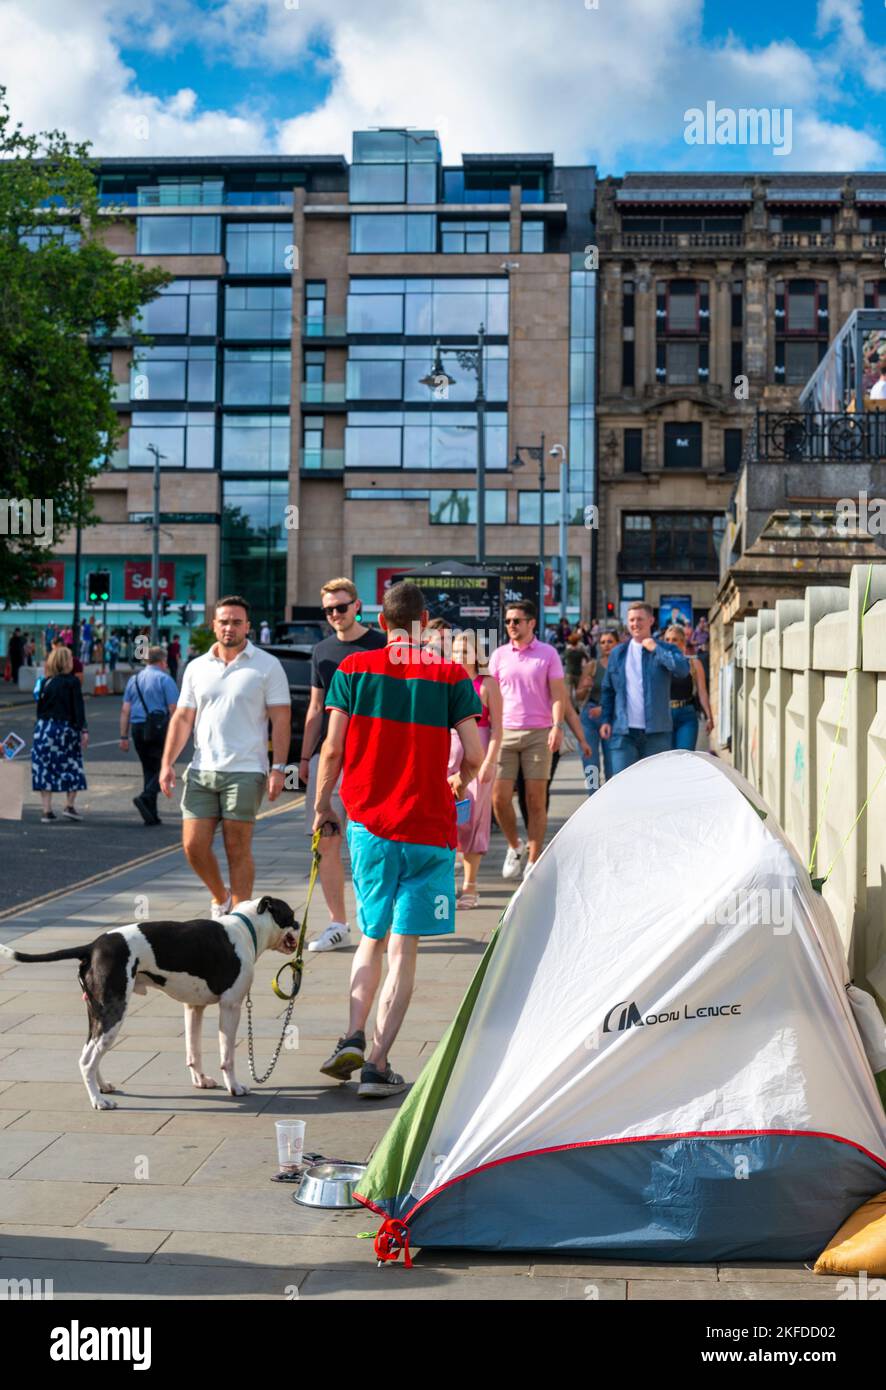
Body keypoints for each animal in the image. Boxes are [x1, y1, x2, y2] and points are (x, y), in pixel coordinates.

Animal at [0, 900, 297, 1106]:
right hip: (113, 1013)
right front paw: (235, 1087)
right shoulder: (231, 1007)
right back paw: (99, 1101)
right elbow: (228, 1057)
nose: (299, 928)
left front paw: (201, 1081)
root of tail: (93, 946)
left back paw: (102, 1087)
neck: (246, 928)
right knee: (87, 1060)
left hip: (97, 1015)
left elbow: (194, 1051)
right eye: (291, 915)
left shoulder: (194, 1008)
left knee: (89, 1054)